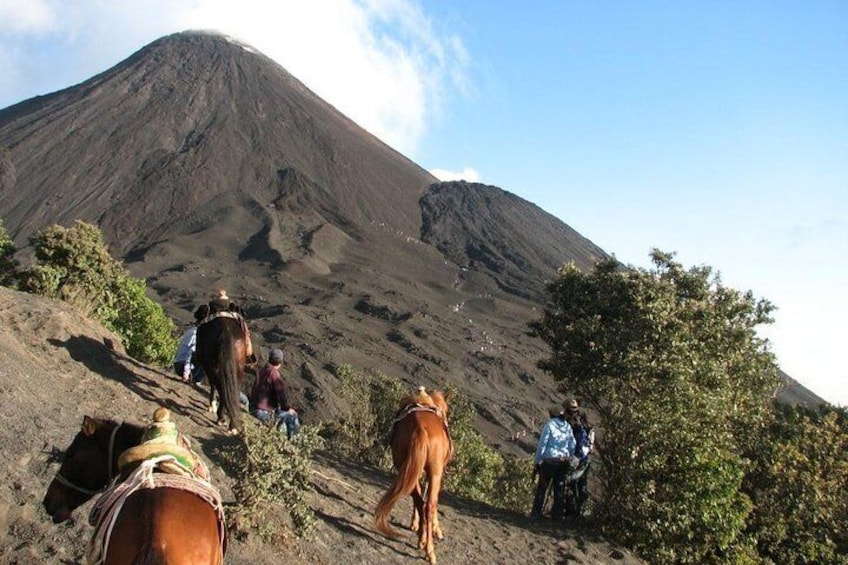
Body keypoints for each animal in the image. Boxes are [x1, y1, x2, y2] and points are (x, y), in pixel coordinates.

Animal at [372, 390, 450, 560]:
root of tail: (420, 427)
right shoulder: (436, 472)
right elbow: (433, 500)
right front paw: (436, 530)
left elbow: (418, 497)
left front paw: (415, 524)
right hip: (435, 471)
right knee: (429, 504)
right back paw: (429, 551)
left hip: (406, 465)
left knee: (419, 500)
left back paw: (422, 539)